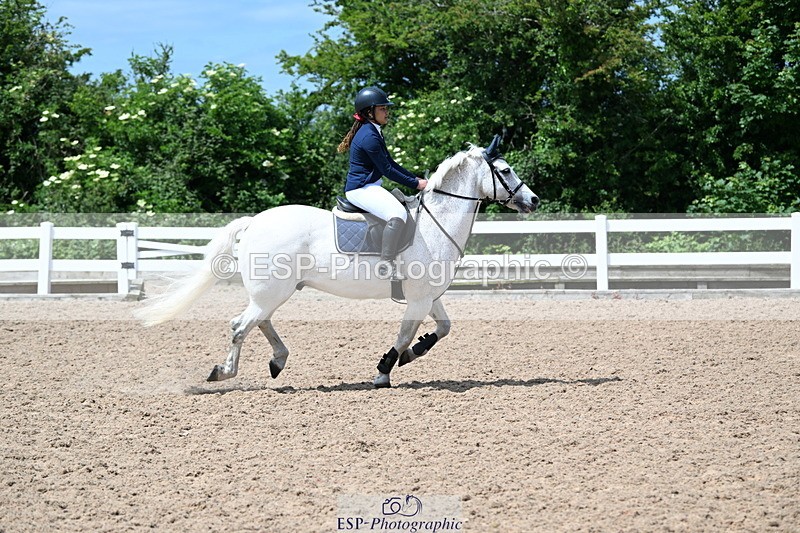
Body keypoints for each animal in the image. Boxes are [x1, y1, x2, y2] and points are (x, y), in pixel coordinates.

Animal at [134, 135, 539, 388]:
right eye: (505, 171)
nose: (533, 200)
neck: (434, 222)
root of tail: (254, 222)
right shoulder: (418, 299)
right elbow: (404, 333)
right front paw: (384, 371)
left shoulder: (429, 296)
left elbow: (443, 329)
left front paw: (412, 354)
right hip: (272, 291)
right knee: (241, 326)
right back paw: (225, 371)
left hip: (272, 292)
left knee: (258, 322)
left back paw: (277, 361)